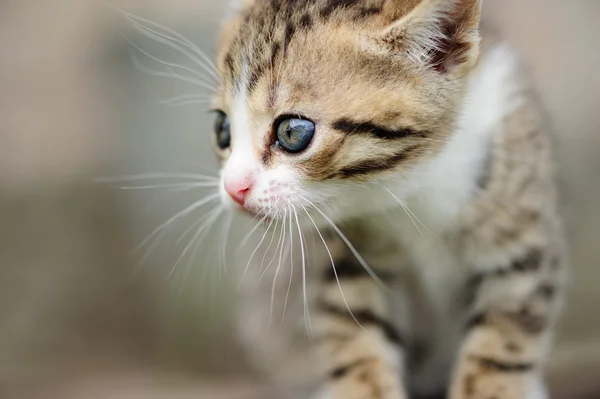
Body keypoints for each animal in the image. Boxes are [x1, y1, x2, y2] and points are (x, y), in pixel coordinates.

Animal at [210, 0, 568, 399]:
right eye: (222, 129)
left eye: (292, 131)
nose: (234, 188)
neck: (410, 187)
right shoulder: (345, 259)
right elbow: (355, 332)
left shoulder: (522, 235)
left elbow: (505, 333)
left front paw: (493, 388)